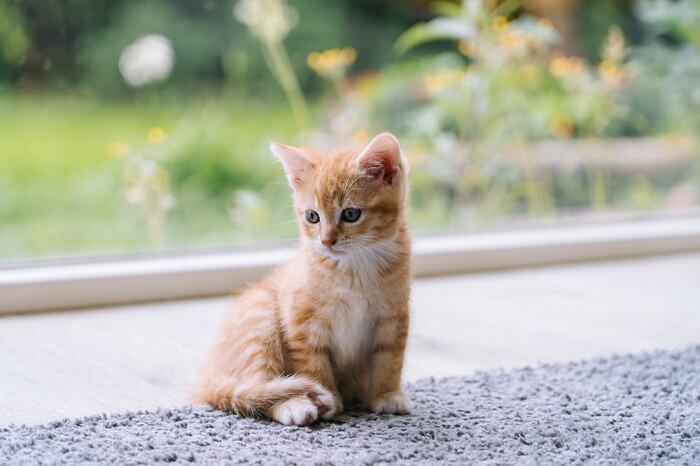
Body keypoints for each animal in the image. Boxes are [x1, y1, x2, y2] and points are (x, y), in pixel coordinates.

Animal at [194, 132, 412, 426]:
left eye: (351, 214)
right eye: (312, 216)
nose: (326, 241)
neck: (354, 270)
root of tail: (210, 373)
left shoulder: (393, 316)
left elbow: (390, 359)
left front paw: (387, 394)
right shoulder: (301, 319)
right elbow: (313, 364)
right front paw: (328, 398)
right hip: (259, 316)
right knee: (254, 387)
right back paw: (294, 405)